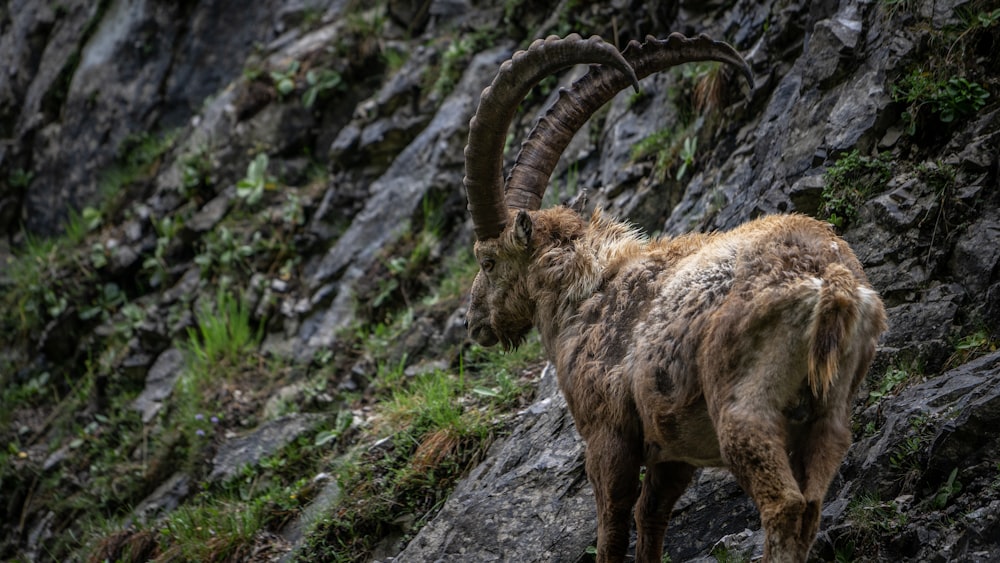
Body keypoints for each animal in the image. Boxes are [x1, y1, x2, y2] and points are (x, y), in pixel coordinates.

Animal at [460, 33, 884, 560]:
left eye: (487, 261)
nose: (474, 323)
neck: (587, 292)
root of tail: (831, 281)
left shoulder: (607, 436)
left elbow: (613, 527)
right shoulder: (672, 452)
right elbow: (652, 517)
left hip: (744, 408)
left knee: (784, 506)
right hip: (831, 413)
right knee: (810, 504)